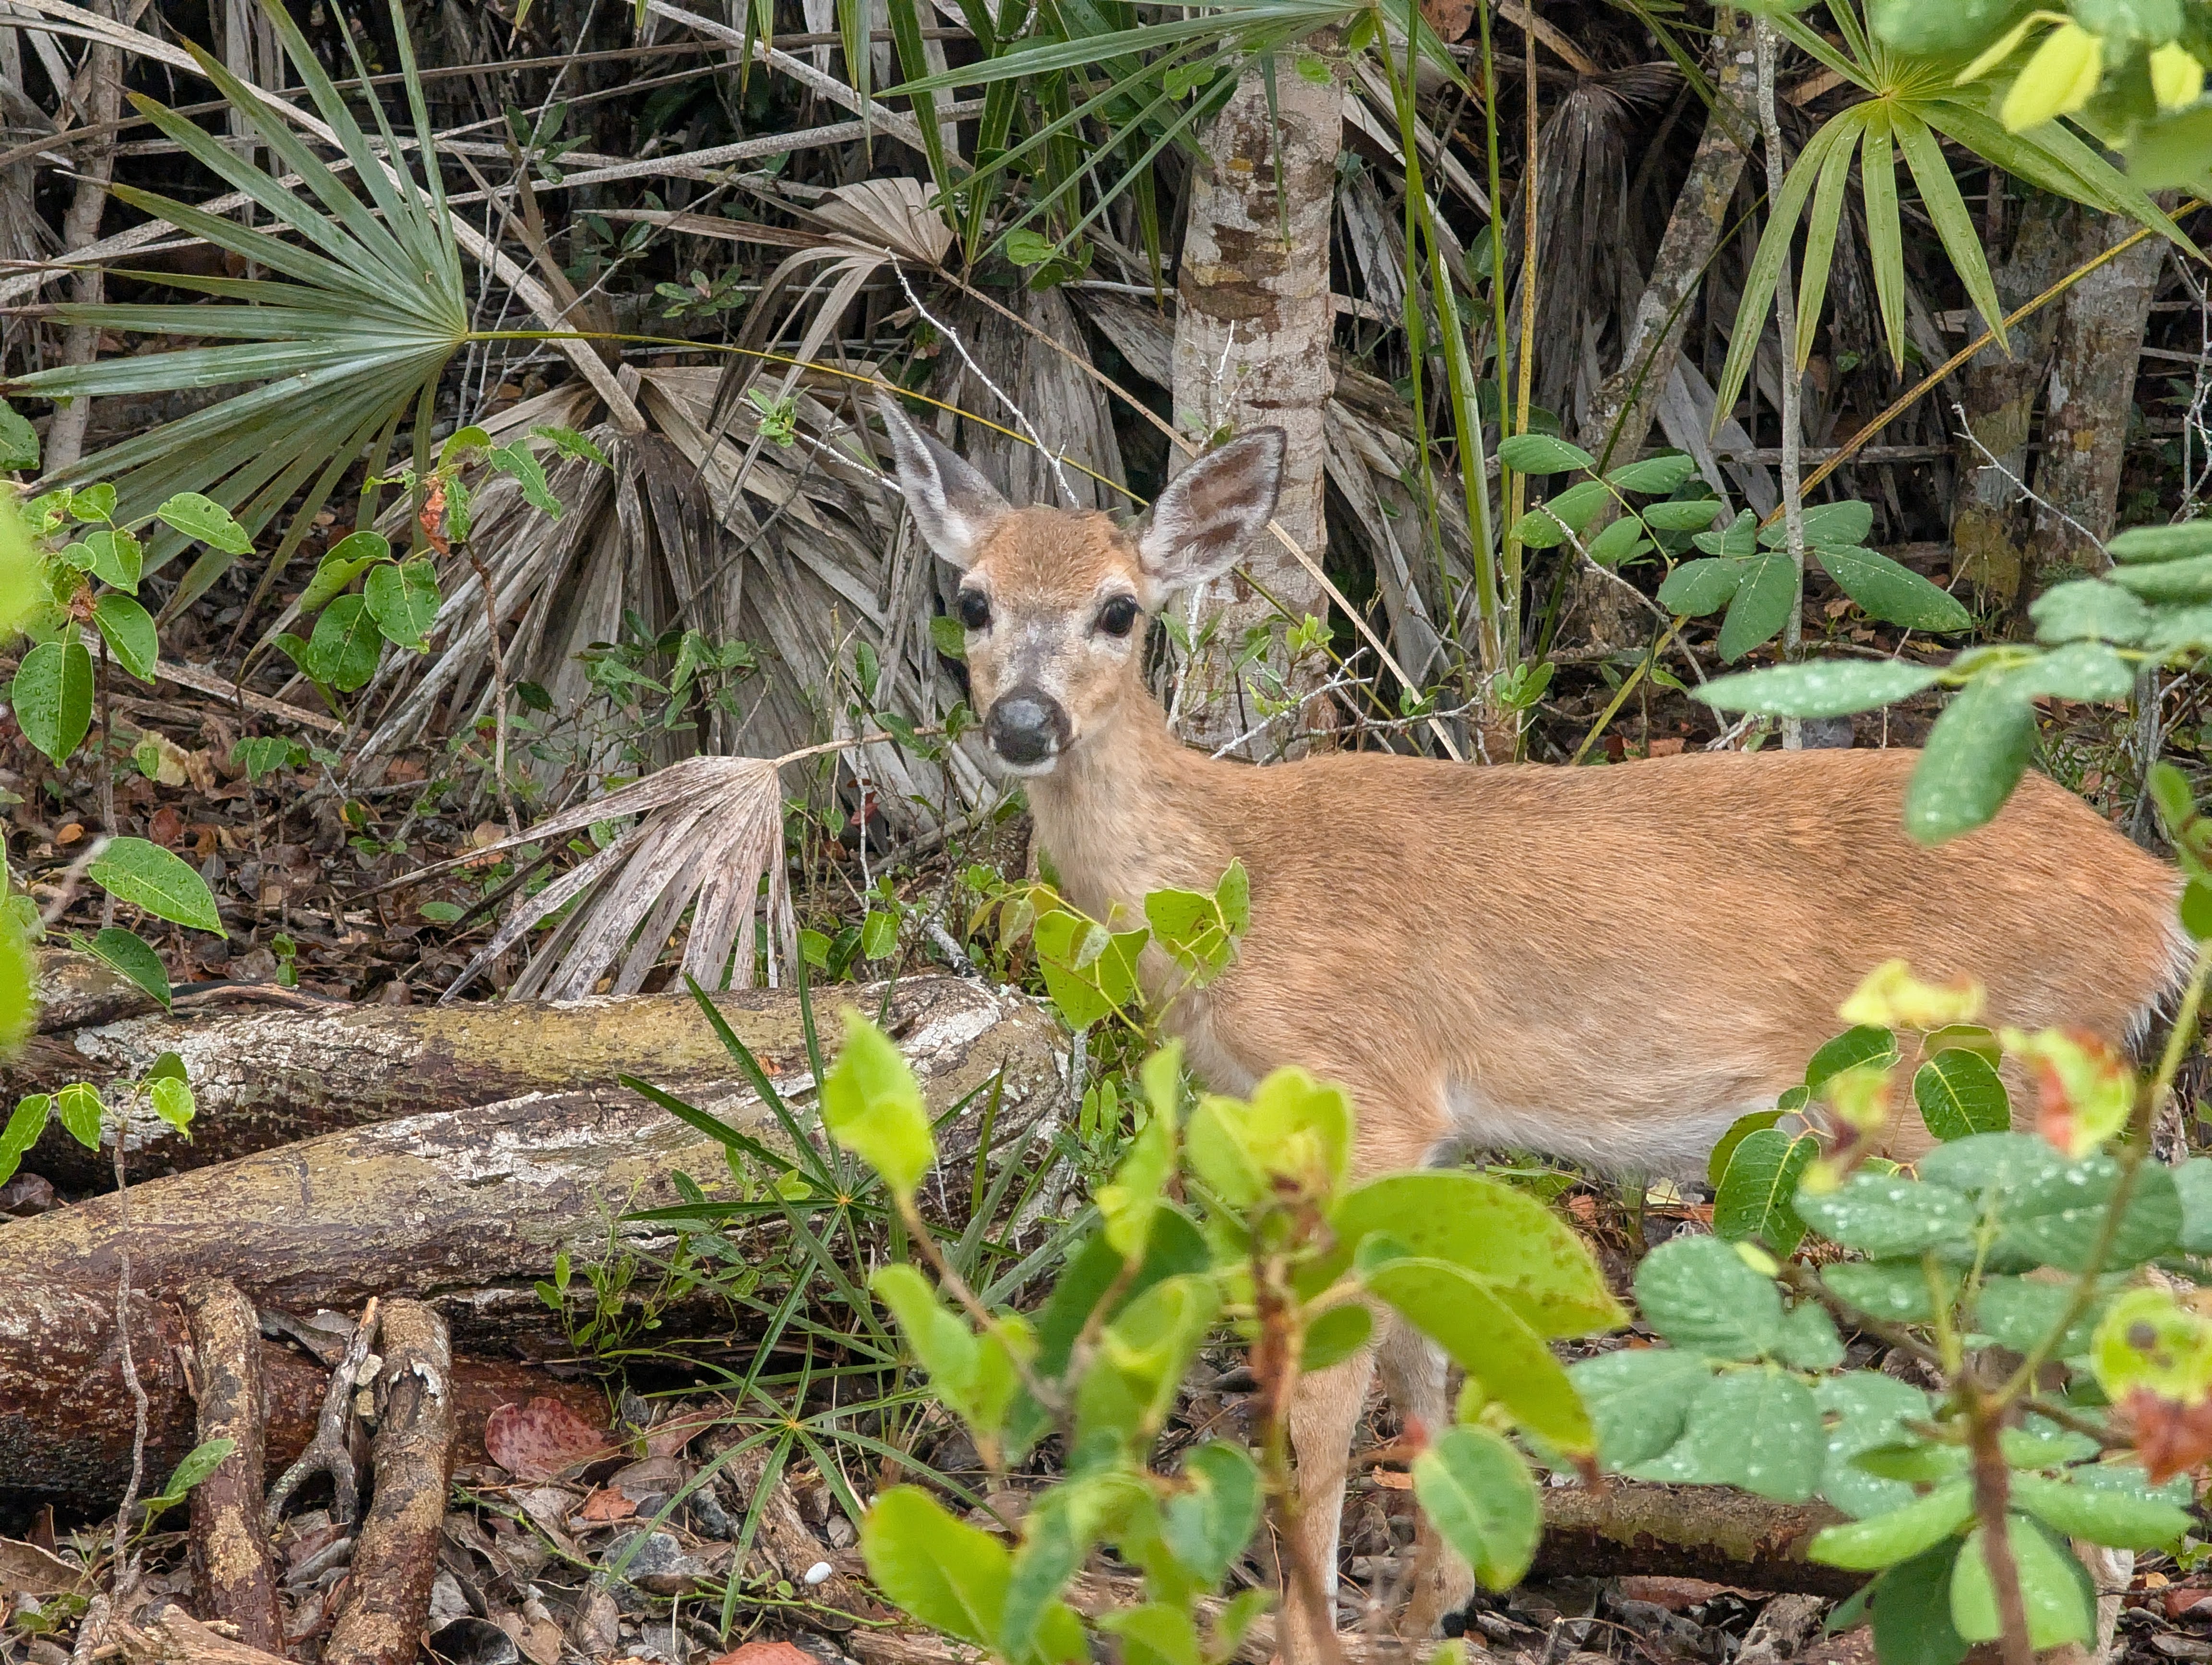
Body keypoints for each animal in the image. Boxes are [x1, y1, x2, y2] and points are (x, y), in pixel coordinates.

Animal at [872, 390, 2187, 1658]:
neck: (1230, 882)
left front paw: (1313, 1627)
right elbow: (1425, 1362)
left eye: (1119, 611)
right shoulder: (1424, 1133)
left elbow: (1324, 1392)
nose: (1024, 722)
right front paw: (1428, 1609)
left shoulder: (1368, 1090)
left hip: (1969, 1097)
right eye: (973, 600)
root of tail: (2157, 897)